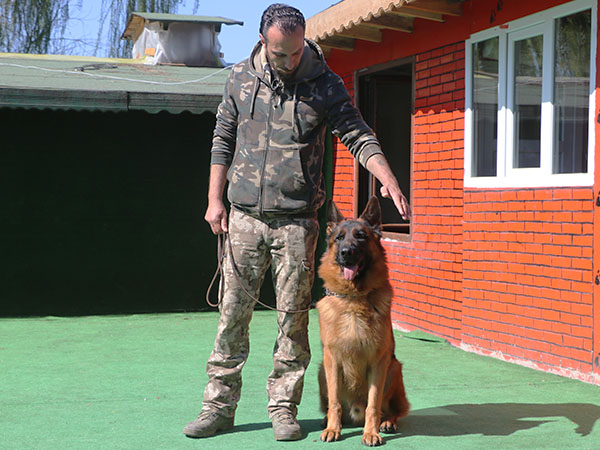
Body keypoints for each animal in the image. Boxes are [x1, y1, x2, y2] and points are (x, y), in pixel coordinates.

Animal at [318, 198, 408, 446]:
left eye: (361, 236)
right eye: (339, 238)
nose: (346, 253)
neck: (353, 299)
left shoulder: (379, 361)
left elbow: (373, 404)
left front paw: (371, 432)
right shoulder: (332, 359)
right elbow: (335, 403)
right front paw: (333, 428)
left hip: (394, 368)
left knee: (394, 410)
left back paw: (387, 422)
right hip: (321, 369)